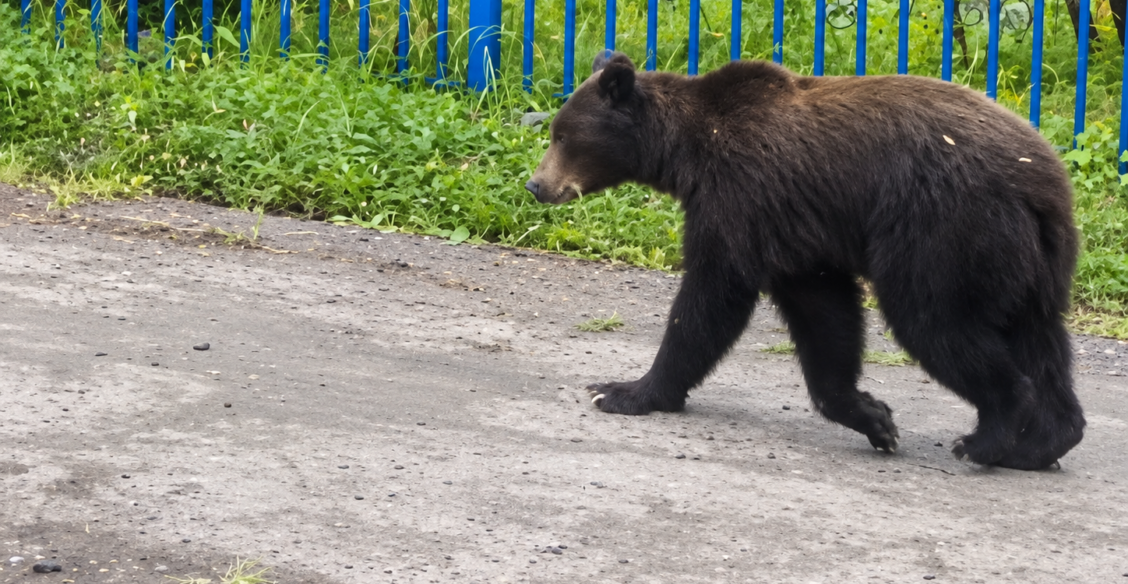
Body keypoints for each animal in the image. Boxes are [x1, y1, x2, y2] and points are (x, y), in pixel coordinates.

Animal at [525, 51, 1085, 471]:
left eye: (562, 135)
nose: (535, 185)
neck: (686, 153)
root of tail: (1043, 186)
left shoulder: (743, 196)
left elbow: (712, 296)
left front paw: (623, 390)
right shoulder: (795, 234)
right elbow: (824, 315)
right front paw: (875, 418)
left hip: (945, 229)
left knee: (935, 322)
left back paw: (986, 439)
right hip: (1031, 259)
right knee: (1041, 339)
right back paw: (1042, 444)